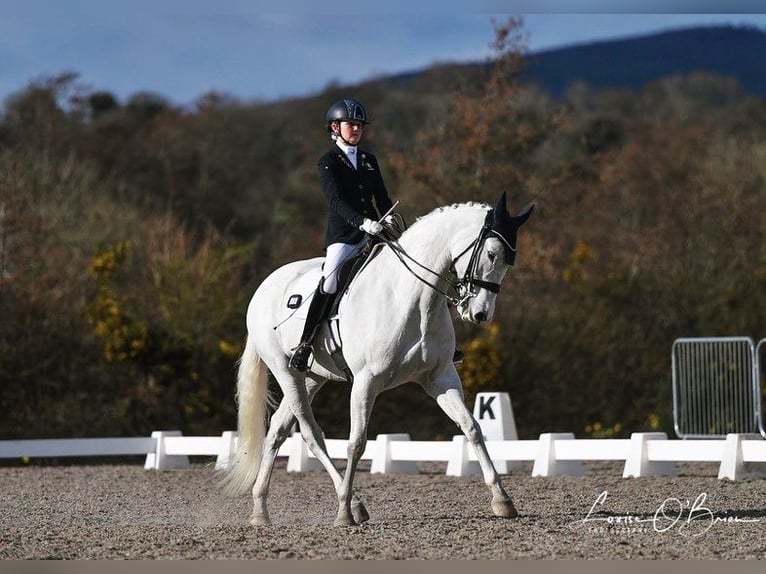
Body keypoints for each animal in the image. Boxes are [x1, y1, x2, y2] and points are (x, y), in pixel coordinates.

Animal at [222, 194, 536, 528]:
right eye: (490, 253)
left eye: (509, 262)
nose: (479, 314)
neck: (413, 298)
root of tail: (265, 285)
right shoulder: (365, 382)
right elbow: (356, 442)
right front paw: (344, 512)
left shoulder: (440, 376)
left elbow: (471, 427)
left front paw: (502, 500)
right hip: (285, 372)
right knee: (312, 434)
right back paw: (352, 504)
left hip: (311, 377)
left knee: (278, 430)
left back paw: (260, 509)